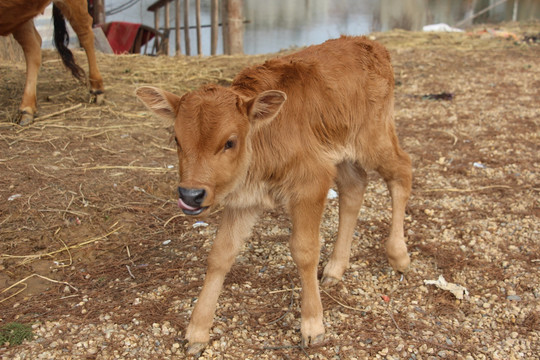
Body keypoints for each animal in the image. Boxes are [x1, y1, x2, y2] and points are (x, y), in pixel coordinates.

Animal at [136, 35, 414, 356]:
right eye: (177, 140)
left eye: (230, 142)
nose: (190, 194)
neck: (263, 138)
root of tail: (370, 44)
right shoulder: (244, 200)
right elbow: (220, 254)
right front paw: (197, 331)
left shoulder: (312, 183)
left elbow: (304, 250)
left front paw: (312, 325)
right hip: (342, 152)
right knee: (355, 187)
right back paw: (335, 269)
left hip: (374, 138)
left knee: (402, 171)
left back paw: (398, 254)